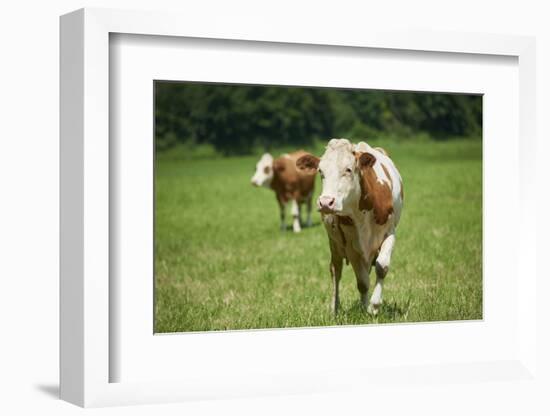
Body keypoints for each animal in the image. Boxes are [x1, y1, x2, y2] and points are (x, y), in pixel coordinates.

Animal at [298, 138, 406, 314]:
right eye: (320, 171)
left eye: (348, 170)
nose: (325, 202)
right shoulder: (350, 246)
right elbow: (362, 282)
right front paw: (365, 308)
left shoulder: (389, 233)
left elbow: (381, 267)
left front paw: (374, 305)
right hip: (334, 243)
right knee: (336, 270)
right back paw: (335, 308)